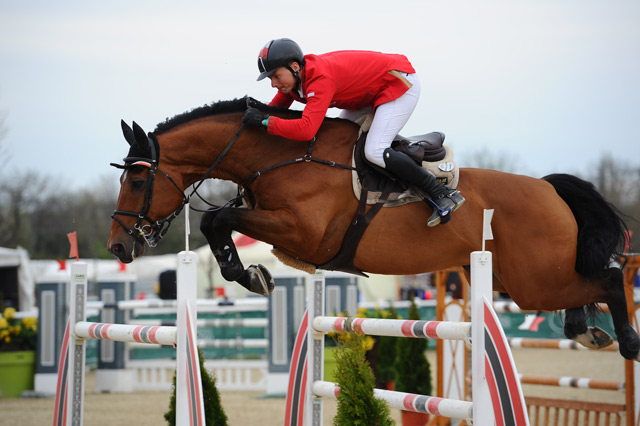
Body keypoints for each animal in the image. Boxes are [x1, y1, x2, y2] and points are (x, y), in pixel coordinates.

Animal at [107, 98, 636, 362]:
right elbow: (217, 220)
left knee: (609, 278)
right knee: (580, 289)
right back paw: (587, 331)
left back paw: (625, 341)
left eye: (137, 180)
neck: (281, 155)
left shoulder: (304, 231)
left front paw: (251, 275)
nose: (117, 246)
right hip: (519, 280)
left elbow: (217, 218)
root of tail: (548, 188)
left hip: (532, 280)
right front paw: (252, 273)